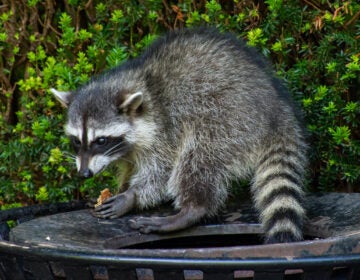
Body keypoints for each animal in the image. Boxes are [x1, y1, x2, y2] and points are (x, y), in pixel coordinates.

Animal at [52, 27, 308, 243]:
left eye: (101, 140)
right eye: (76, 141)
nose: (84, 173)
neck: (142, 83)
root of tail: (277, 110)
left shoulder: (166, 127)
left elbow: (161, 170)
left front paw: (132, 196)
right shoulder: (129, 149)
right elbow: (129, 167)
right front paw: (122, 187)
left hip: (229, 119)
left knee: (198, 158)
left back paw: (192, 209)